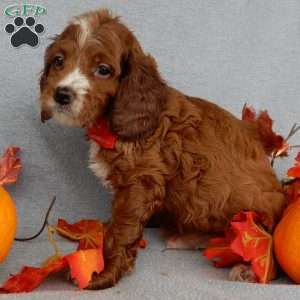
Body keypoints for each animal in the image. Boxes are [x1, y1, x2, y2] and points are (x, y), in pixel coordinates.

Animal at [39, 9, 286, 290]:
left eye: (103, 70)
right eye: (59, 60)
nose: (61, 94)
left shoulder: (141, 181)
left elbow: (123, 228)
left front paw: (104, 272)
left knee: (269, 248)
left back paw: (250, 270)